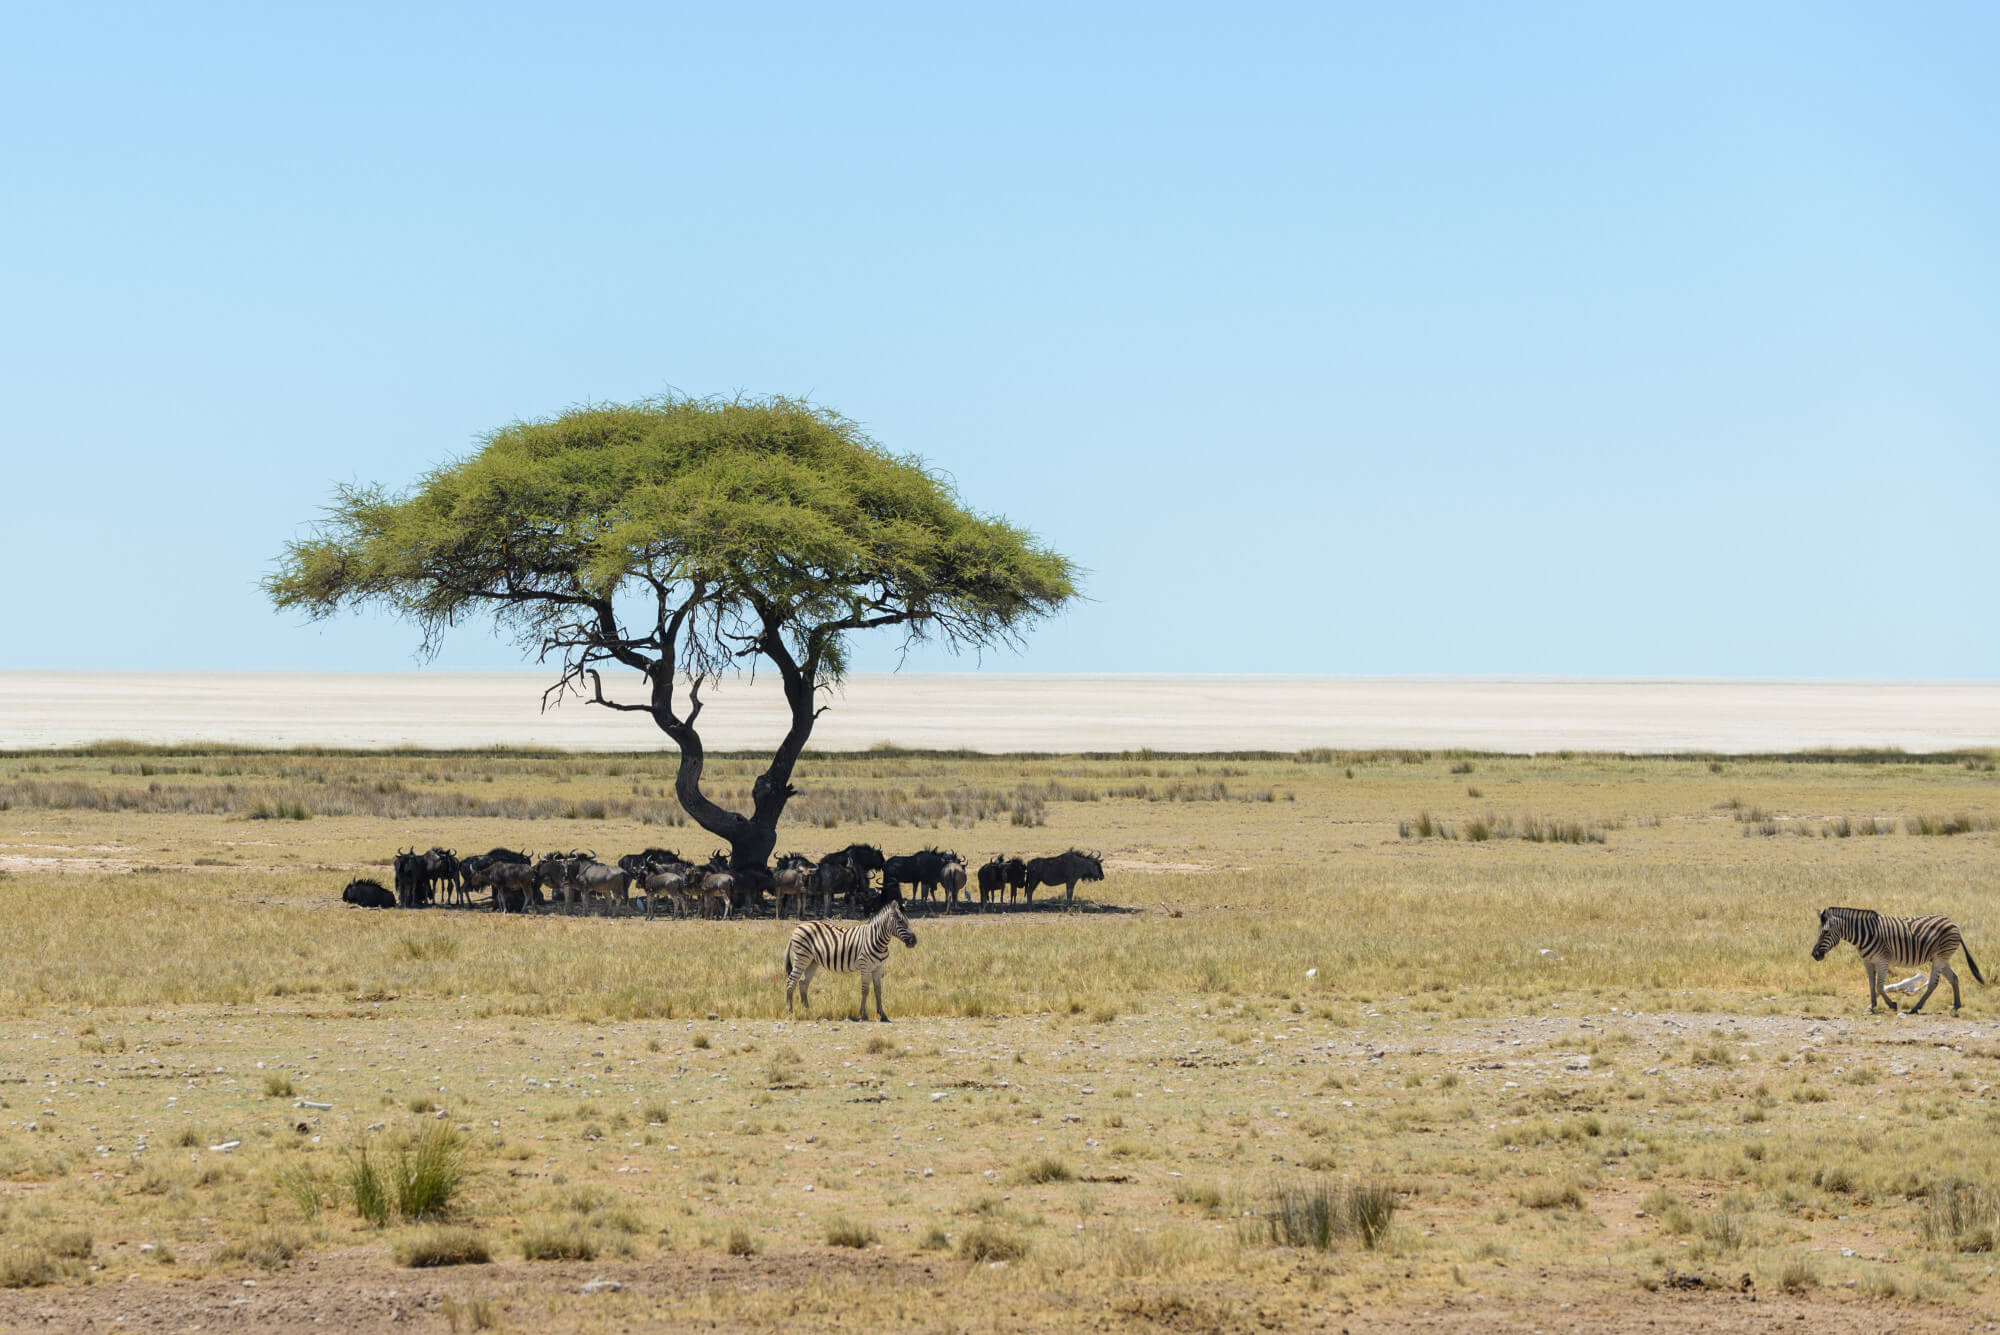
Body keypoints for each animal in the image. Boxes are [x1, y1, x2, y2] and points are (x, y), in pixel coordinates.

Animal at [784, 894, 918, 1021]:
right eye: (900, 922)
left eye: (907, 921)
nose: (914, 941)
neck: (876, 939)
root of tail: (797, 927)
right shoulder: (865, 965)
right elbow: (865, 990)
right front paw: (863, 1015)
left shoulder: (878, 967)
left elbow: (878, 990)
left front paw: (883, 1015)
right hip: (802, 957)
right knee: (791, 981)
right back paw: (790, 1012)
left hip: (812, 961)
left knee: (803, 983)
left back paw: (807, 1010)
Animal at [1810, 906, 1985, 1014]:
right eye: (1818, 931)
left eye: (1826, 932)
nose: (1814, 955)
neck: (1865, 935)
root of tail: (1953, 923)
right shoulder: (1868, 961)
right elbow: (1871, 984)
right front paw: (1872, 1006)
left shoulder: (1882, 961)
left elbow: (1880, 986)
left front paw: (1892, 1004)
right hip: (1942, 958)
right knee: (1954, 978)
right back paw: (1956, 1005)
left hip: (1940, 957)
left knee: (1934, 983)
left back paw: (1916, 1007)